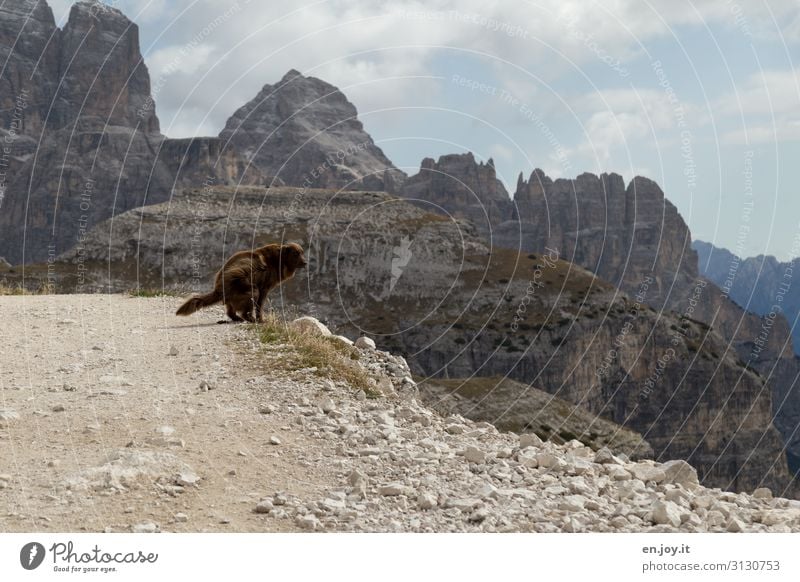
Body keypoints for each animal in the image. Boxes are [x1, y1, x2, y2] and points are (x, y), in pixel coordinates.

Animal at [177, 242, 308, 324]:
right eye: (296, 254)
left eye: (302, 252)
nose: (305, 262)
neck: (279, 261)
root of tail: (219, 289)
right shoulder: (264, 287)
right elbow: (259, 305)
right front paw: (261, 320)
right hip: (246, 286)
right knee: (246, 306)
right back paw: (250, 319)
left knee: (230, 311)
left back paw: (237, 319)